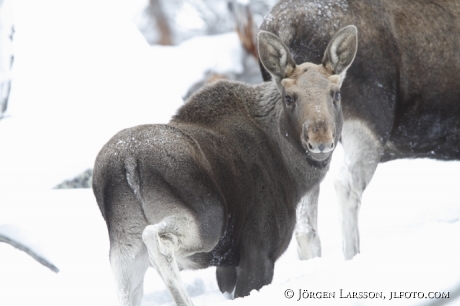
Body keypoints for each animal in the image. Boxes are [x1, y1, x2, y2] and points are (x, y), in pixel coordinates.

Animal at [93, 26, 358, 306]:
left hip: (124, 239)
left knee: (125, 281)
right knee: (157, 238)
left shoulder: (228, 264)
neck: (295, 178)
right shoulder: (260, 251)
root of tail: (127, 162)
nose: (320, 141)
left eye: (336, 93)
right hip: (207, 220)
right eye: (289, 97)